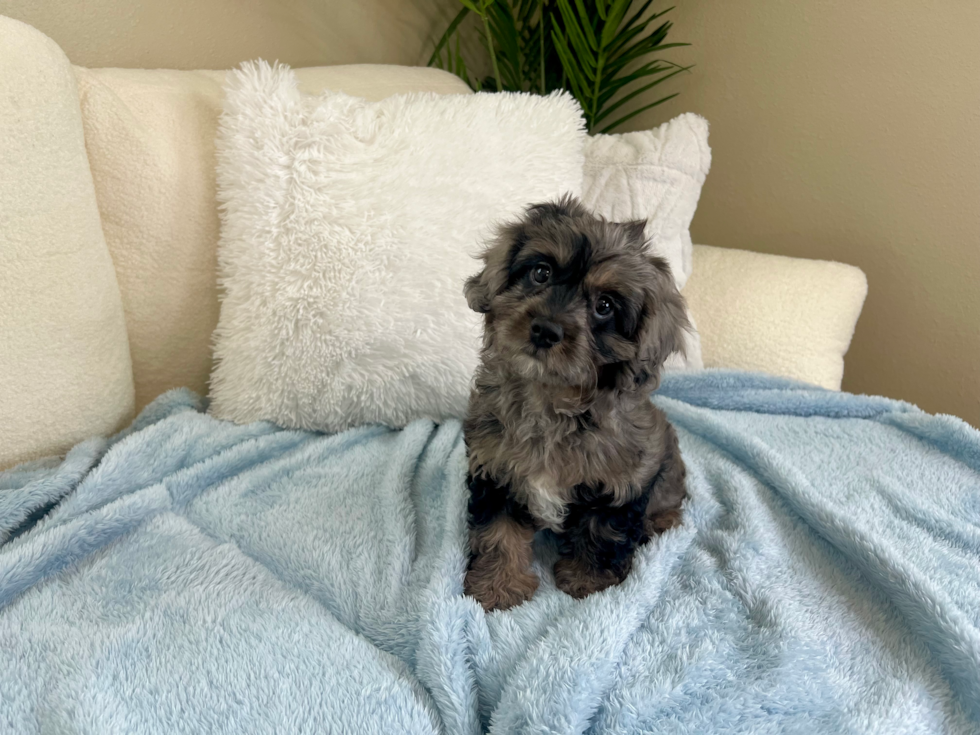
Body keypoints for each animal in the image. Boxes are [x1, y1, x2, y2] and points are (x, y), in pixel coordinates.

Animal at [462, 194, 684, 608]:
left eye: (605, 306)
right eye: (541, 273)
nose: (545, 330)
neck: (550, 399)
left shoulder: (621, 480)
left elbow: (602, 532)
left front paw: (588, 582)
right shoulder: (494, 470)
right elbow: (497, 533)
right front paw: (498, 586)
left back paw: (661, 521)